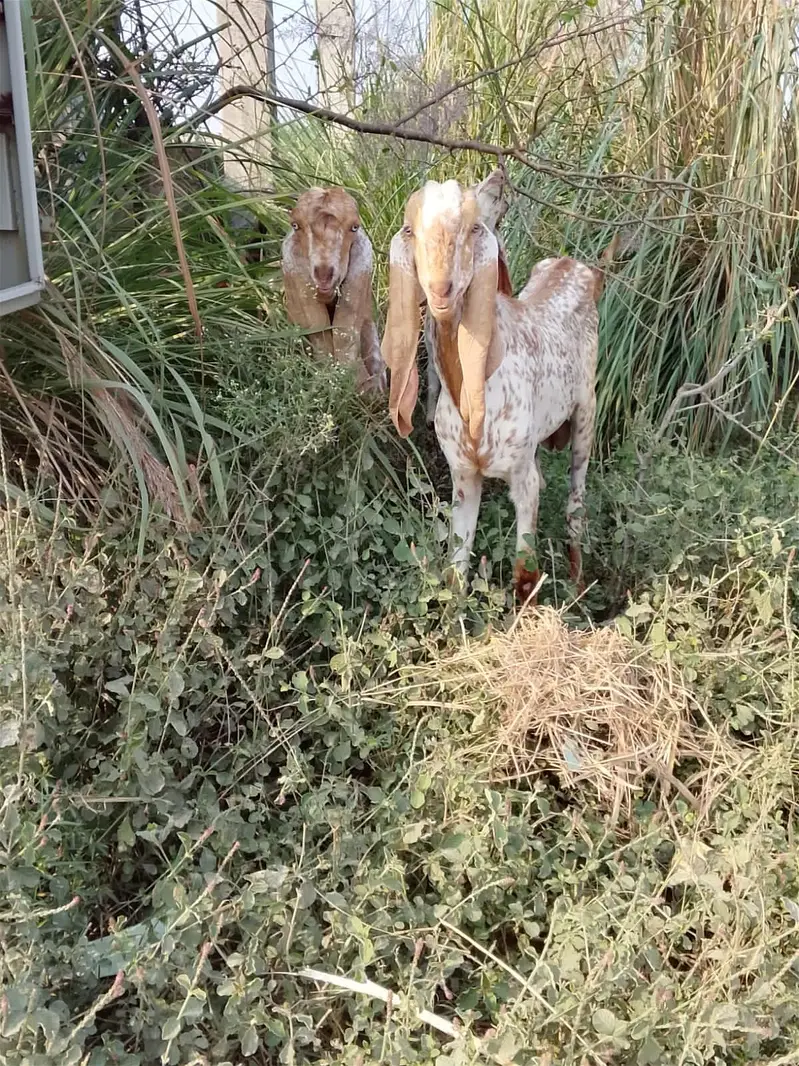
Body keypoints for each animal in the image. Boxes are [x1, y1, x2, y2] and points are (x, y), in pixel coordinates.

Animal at [381, 177, 614, 602]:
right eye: (410, 231)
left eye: (474, 228)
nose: (441, 289)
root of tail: (575, 266)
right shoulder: (462, 476)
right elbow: (456, 570)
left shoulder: (522, 479)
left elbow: (524, 575)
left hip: (586, 413)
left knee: (576, 505)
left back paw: (577, 584)